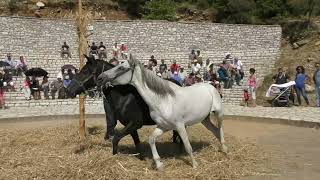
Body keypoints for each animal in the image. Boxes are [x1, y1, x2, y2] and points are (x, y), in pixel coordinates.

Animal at [97, 56, 228, 170]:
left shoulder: (180, 126)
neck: (163, 100)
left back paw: (225, 150)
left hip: (219, 114)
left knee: (220, 129)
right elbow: (151, 140)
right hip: (205, 119)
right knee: (215, 130)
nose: (100, 77)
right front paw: (159, 164)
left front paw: (195, 165)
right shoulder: (163, 126)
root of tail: (210, 86)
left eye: (121, 68)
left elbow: (188, 146)